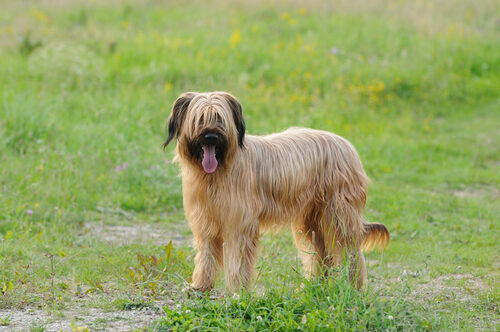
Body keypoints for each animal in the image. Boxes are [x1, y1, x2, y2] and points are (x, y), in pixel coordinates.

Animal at [164, 92, 390, 292]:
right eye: (199, 119)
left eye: (219, 119)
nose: (211, 137)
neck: (216, 174)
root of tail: (348, 146)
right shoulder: (206, 222)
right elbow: (206, 256)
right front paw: (200, 287)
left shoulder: (240, 225)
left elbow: (238, 259)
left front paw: (238, 290)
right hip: (311, 220)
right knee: (321, 253)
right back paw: (316, 285)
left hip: (338, 214)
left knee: (349, 251)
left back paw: (351, 286)